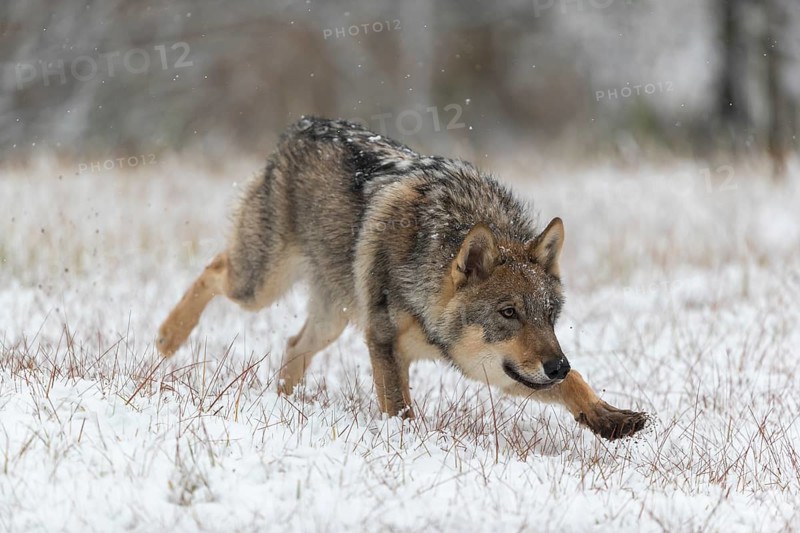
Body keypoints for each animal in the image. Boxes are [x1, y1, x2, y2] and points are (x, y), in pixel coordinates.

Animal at [157, 117, 648, 440]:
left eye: (550, 316)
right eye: (508, 312)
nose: (555, 364)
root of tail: (303, 124)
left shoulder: (486, 365)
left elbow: (577, 383)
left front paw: (609, 419)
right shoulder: (384, 341)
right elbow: (400, 409)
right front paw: (409, 447)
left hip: (331, 317)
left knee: (293, 345)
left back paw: (285, 402)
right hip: (259, 286)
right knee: (214, 269)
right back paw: (168, 337)